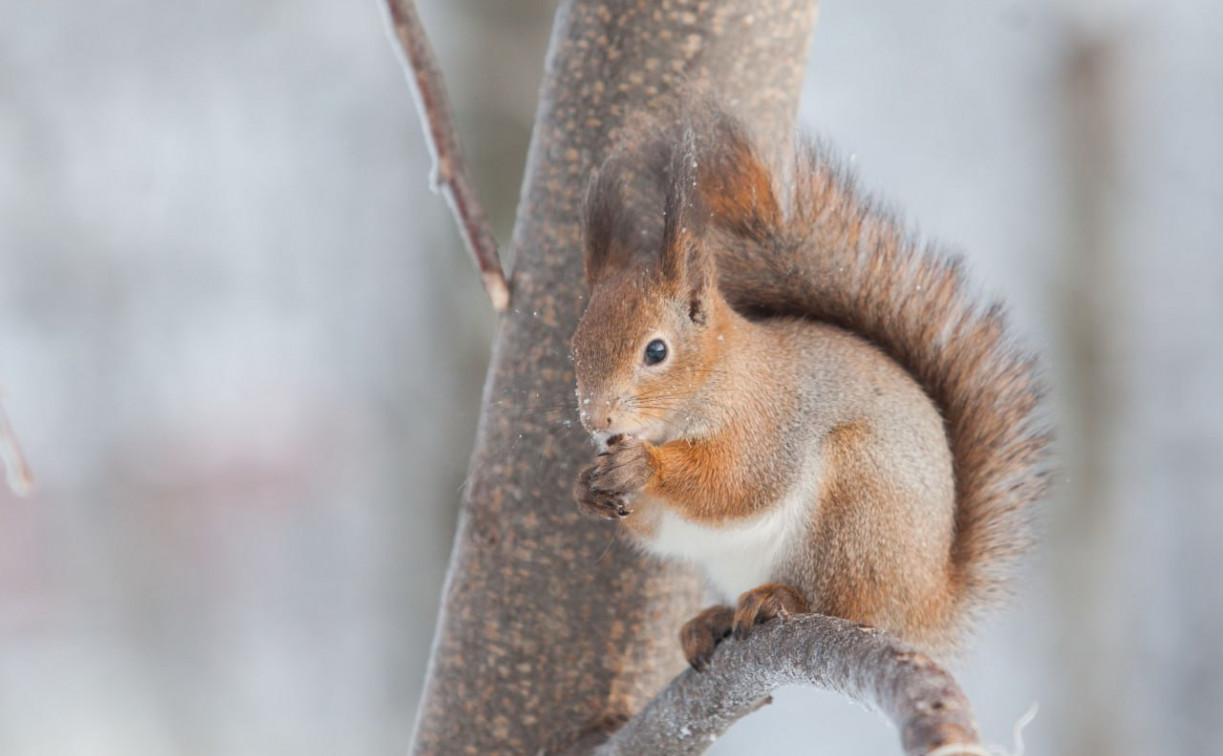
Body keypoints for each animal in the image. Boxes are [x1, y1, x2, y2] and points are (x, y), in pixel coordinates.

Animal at [567, 107, 1046, 665]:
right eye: (574, 347)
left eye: (656, 351)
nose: (596, 419)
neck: (717, 376)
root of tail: (927, 608)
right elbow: (655, 525)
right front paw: (586, 486)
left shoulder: (766, 420)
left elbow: (734, 481)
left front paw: (644, 466)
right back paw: (711, 620)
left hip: (856, 509)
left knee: (846, 603)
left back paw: (781, 599)